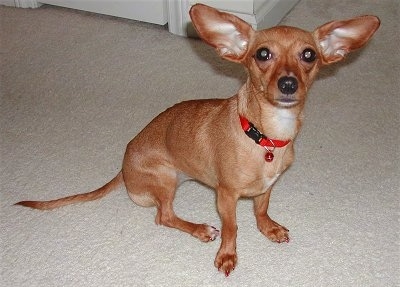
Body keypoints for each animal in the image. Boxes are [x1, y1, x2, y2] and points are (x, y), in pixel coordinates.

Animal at [14, 3, 378, 276]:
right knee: (164, 216)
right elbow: (232, 228)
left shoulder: (268, 187)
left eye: (309, 55)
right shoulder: (226, 197)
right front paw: (228, 256)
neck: (264, 137)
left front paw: (268, 228)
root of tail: (123, 167)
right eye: (262, 54)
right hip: (165, 177)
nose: (288, 84)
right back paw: (200, 229)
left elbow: (261, 210)